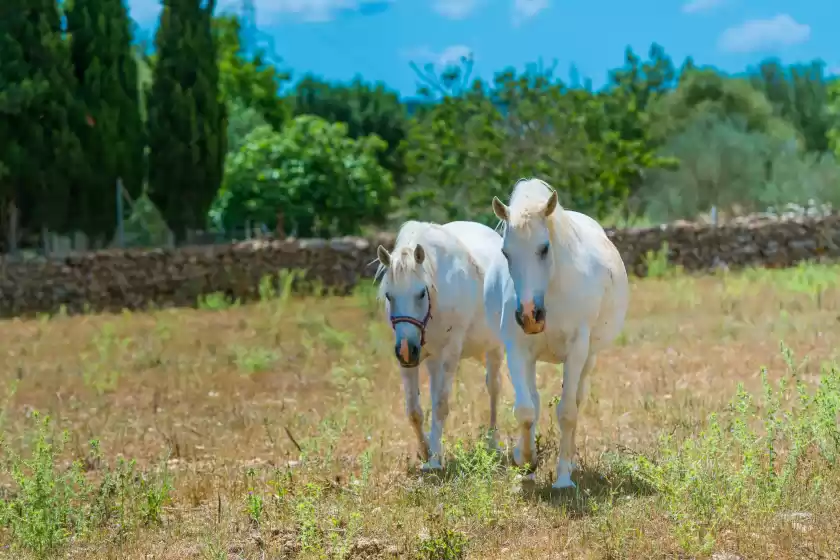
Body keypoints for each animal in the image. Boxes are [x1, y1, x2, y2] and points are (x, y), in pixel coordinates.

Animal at [376, 221, 506, 470]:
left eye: (420, 293)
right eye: (389, 296)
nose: (406, 350)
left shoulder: (449, 354)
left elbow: (441, 405)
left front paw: (435, 460)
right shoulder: (410, 361)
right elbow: (414, 410)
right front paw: (426, 452)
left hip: (494, 349)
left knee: (494, 389)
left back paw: (493, 444)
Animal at [482, 180, 628, 490]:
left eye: (544, 248)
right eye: (506, 253)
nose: (529, 315)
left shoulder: (577, 350)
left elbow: (567, 412)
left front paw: (563, 479)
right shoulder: (517, 350)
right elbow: (525, 410)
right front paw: (526, 463)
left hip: (589, 358)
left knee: (577, 400)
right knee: (534, 402)